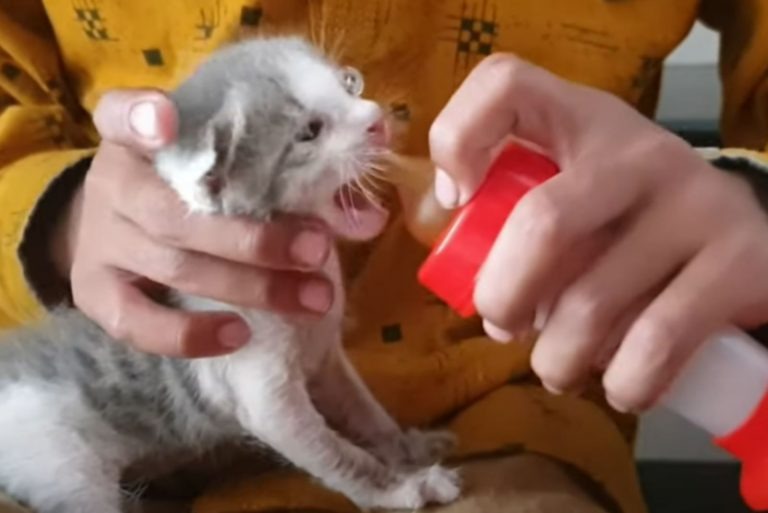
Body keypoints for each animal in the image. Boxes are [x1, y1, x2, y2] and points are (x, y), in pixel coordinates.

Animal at [0, 37, 460, 512]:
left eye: (349, 83)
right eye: (309, 131)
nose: (378, 121)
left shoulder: (327, 357)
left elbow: (365, 410)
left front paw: (406, 449)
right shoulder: (267, 400)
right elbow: (338, 454)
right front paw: (400, 487)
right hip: (65, 466)